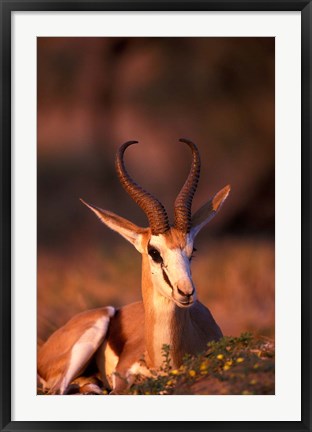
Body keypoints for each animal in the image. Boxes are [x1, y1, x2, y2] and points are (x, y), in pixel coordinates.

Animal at [37, 139, 230, 394]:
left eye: (192, 251)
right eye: (154, 252)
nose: (186, 292)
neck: (163, 360)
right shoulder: (121, 379)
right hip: (95, 327)